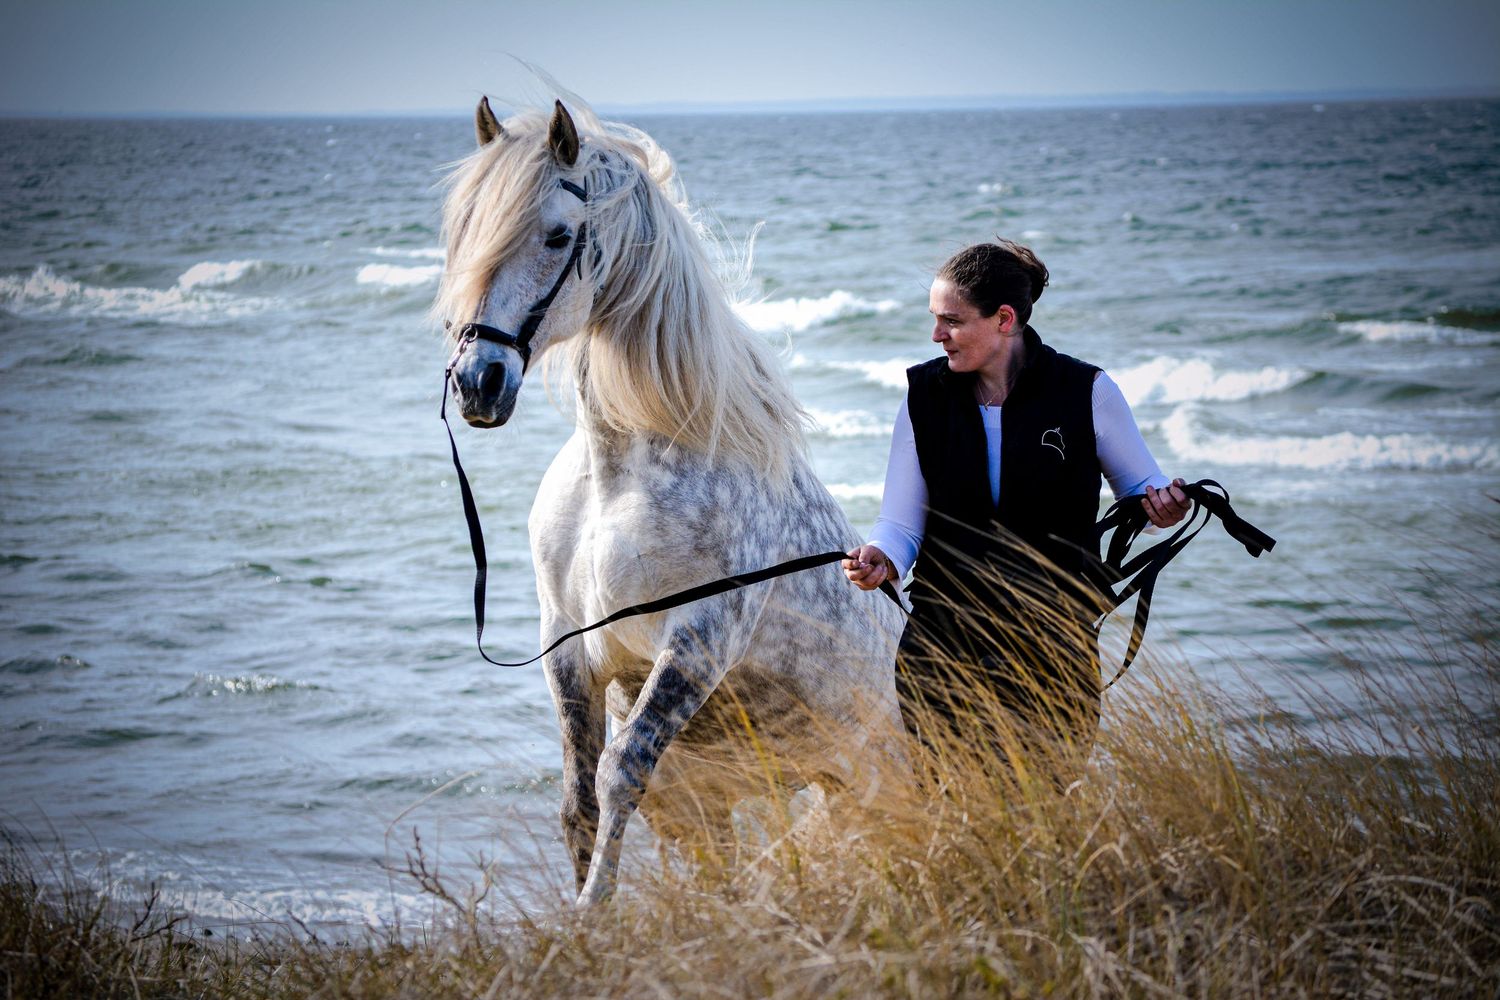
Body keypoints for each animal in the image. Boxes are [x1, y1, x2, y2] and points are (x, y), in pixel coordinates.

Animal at [435, 96, 906, 905]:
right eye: (464, 232)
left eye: (556, 234)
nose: (478, 383)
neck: (618, 473)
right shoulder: (569, 646)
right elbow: (579, 801)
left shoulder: (696, 642)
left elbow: (619, 773)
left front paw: (594, 912)